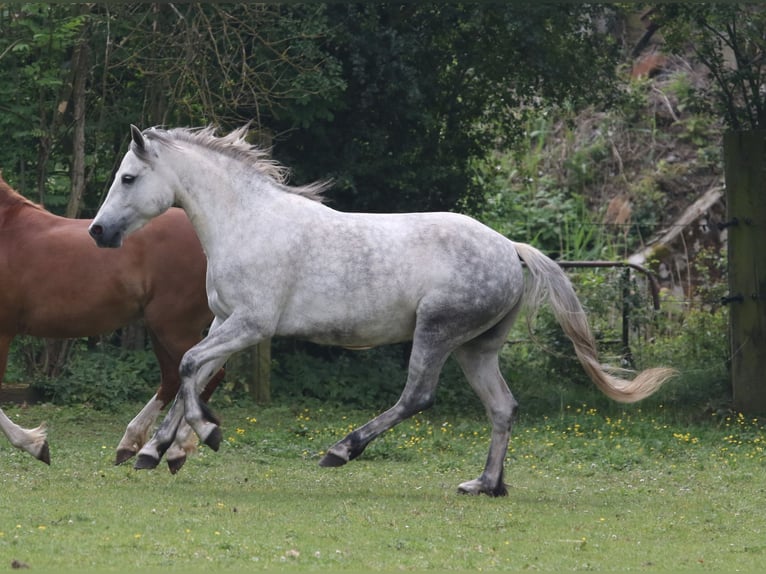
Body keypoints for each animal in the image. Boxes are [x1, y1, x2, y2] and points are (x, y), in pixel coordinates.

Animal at [0, 174, 222, 472]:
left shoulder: (2, 332)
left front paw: (35, 445)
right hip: (161, 328)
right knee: (175, 378)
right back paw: (136, 446)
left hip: (174, 327)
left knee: (202, 375)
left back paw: (174, 449)